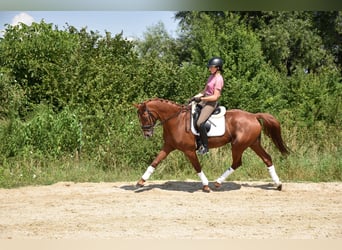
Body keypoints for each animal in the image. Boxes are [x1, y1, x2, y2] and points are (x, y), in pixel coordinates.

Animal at [134, 97, 288, 191]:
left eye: (145, 115)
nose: (147, 134)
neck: (176, 120)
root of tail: (253, 116)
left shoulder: (189, 150)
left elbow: (197, 167)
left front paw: (206, 186)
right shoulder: (168, 146)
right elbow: (155, 162)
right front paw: (141, 181)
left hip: (238, 145)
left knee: (237, 163)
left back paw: (218, 182)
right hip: (253, 143)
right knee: (267, 159)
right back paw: (278, 184)